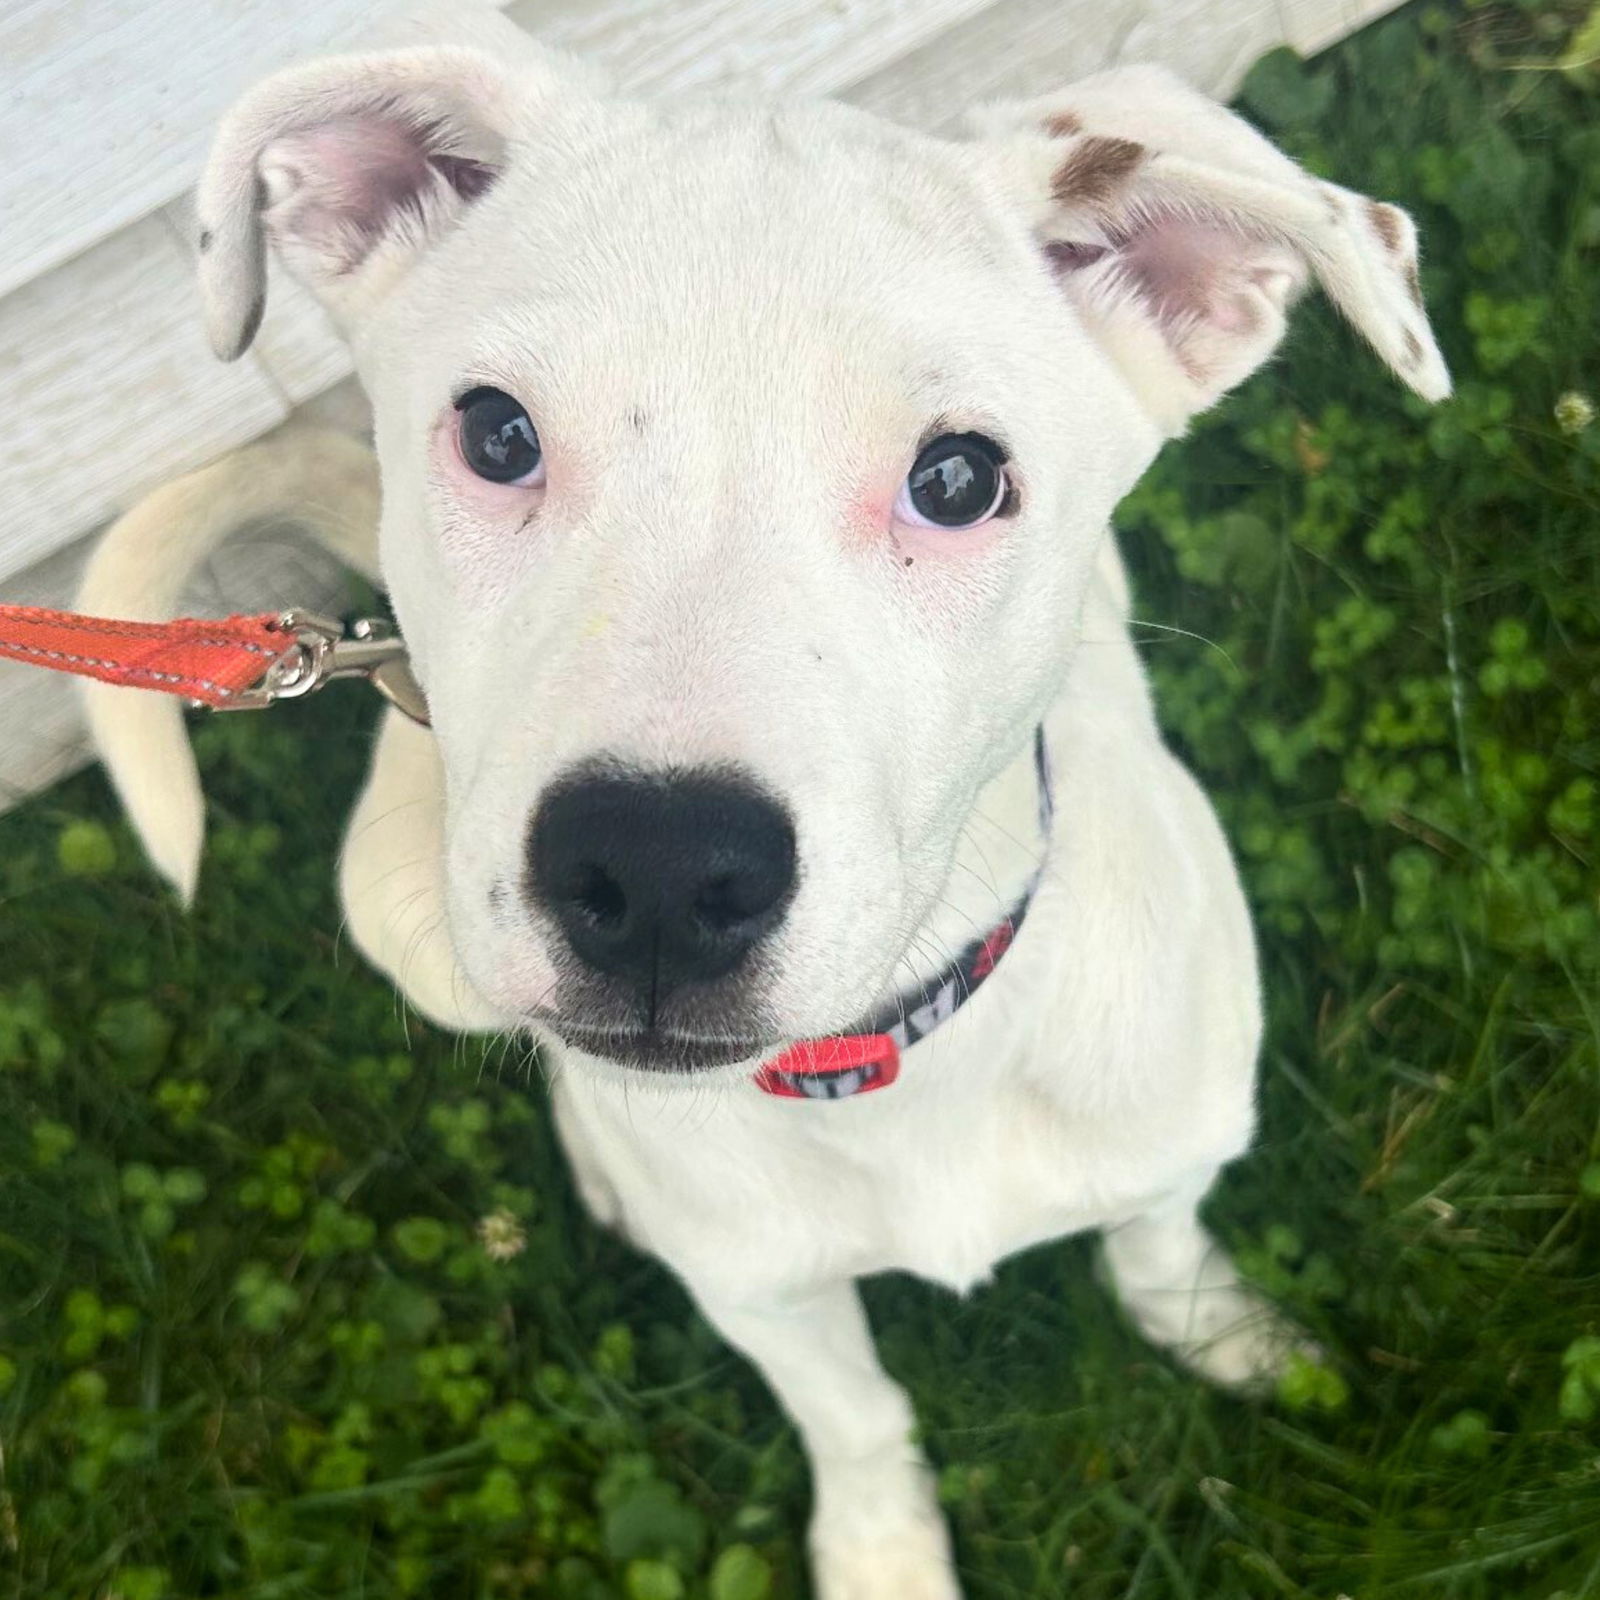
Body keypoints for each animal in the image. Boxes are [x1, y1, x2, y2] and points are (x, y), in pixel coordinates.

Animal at [81, 28, 1446, 1600]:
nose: (661, 874)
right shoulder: (770, 1298)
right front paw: (883, 1551)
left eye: (959, 478)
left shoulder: (1178, 1130)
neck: (893, 1068)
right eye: (496, 433)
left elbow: (1157, 1242)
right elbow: (849, 1408)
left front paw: (1233, 1336)